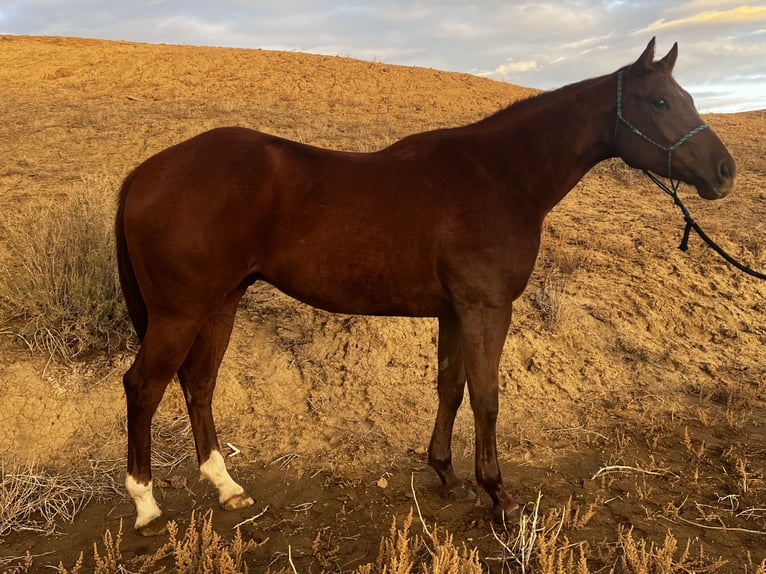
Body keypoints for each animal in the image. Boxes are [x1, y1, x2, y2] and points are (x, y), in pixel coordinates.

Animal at [115, 38, 735, 535]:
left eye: (687, 98)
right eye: (661, 102)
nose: (725, 172)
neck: (499, 176)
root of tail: (146, 171)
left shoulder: (455, 311)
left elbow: (450, 389)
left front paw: (446, 474)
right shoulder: (487, 308)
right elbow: (486, 396)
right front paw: (498, 495)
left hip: (220, 304)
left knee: (198, 385)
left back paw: (227, 487)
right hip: (179, 314)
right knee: (144, 387)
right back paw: (146, 507)